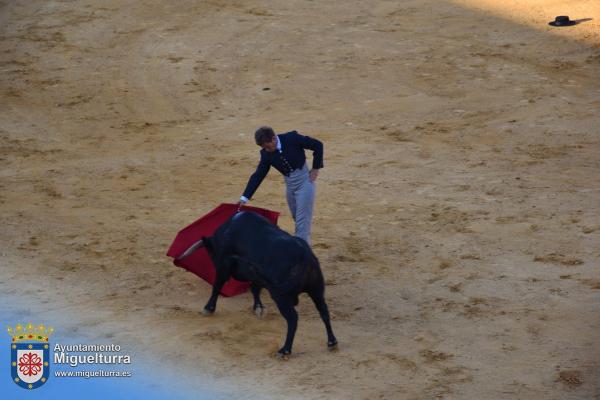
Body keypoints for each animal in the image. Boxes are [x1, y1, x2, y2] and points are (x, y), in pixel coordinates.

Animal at [177, 211, 338, 358]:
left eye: (210, 253)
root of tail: (305, 257)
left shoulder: (223, 266)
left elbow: (216, 286)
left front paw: (208, 308)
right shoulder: (256, 276)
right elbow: (255, 289)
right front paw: (258, 308)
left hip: (281, 297)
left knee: (293, 318)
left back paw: (285, 350)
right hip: (316, 290)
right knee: (324, 310)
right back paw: (332, 342)